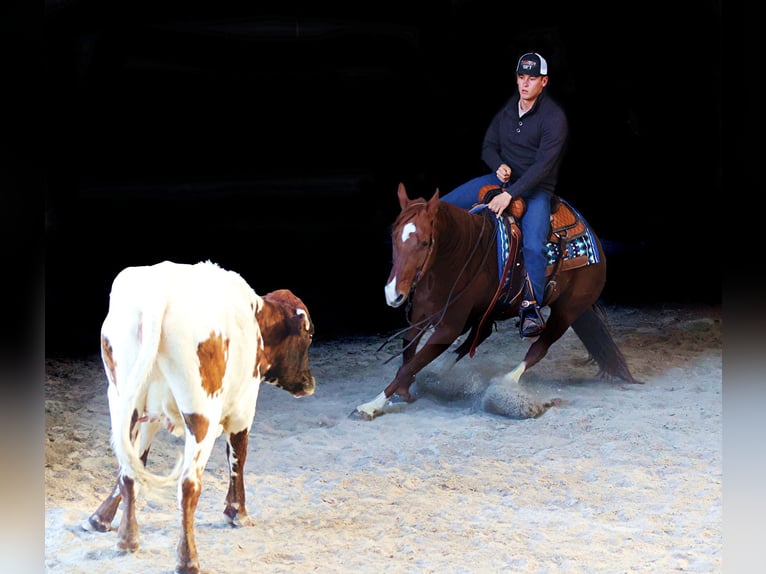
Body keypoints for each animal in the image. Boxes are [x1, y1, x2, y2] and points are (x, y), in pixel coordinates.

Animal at [356, 182, 640, 420]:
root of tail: (593, 239)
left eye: (425, 242)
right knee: (474, 340)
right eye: (394, 236)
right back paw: (439, 376)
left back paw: (504, 384)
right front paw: (404, 390)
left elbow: (410, 364)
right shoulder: (421, 317)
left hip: (567, 310)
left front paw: (370, 405)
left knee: (538, 348)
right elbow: (408, 353)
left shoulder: (449, 327)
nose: (393, 294)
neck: (457, 257)